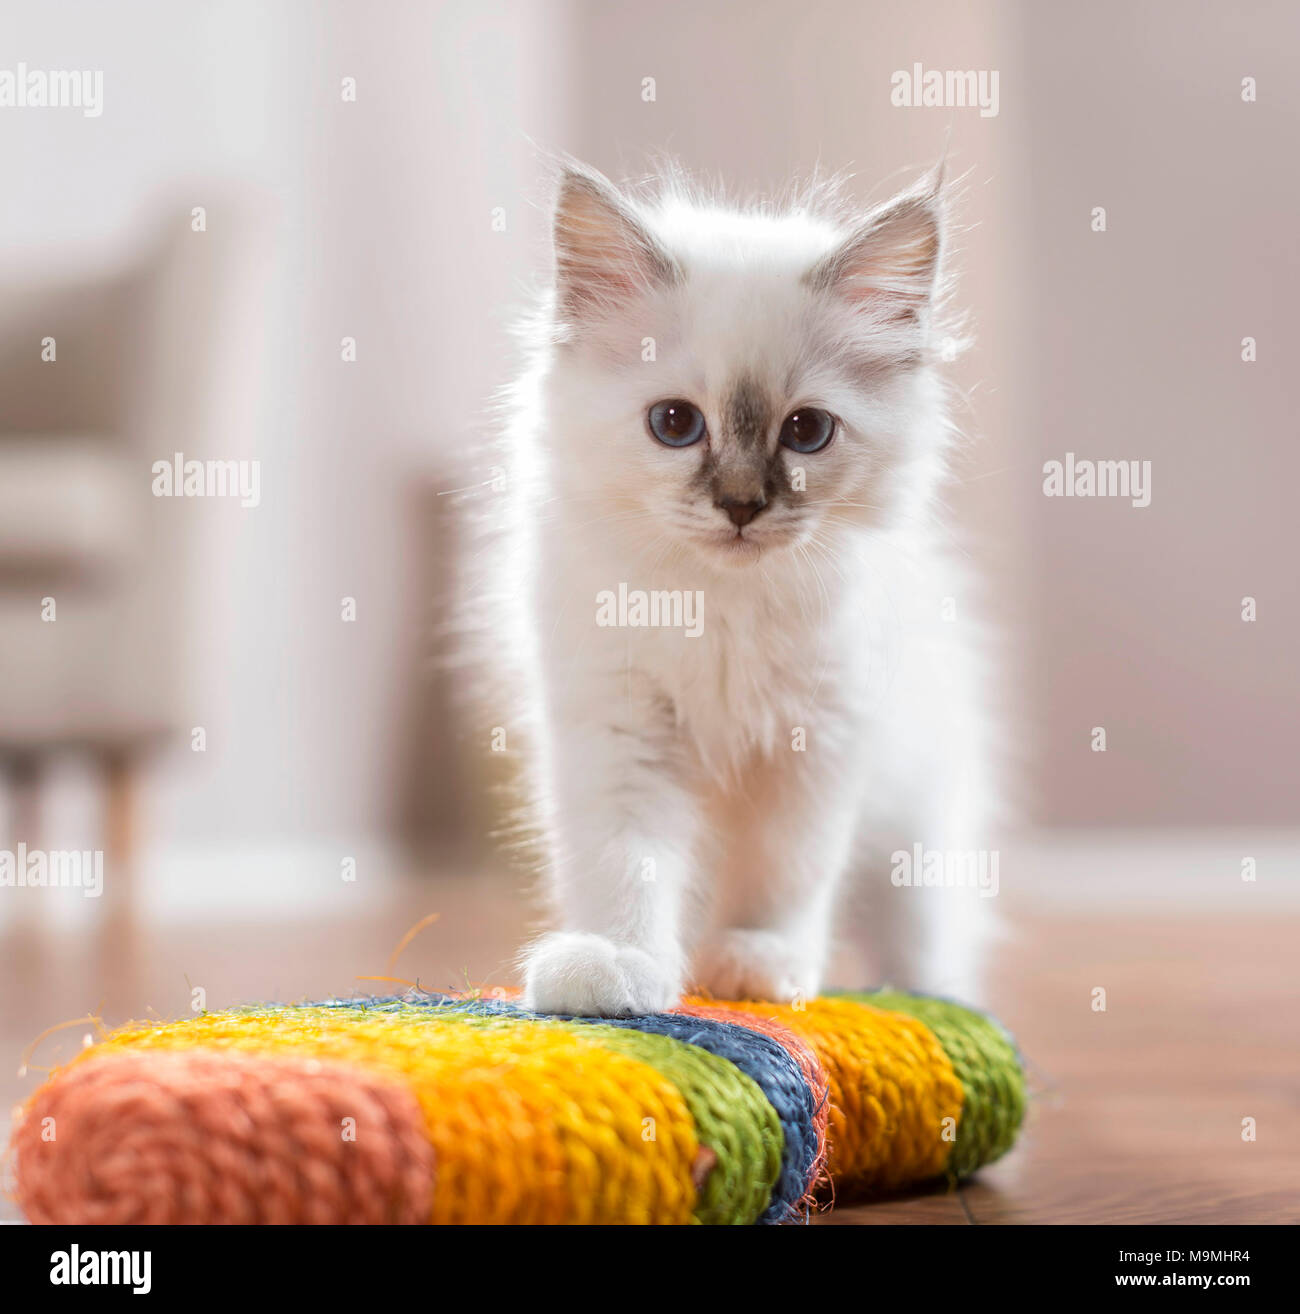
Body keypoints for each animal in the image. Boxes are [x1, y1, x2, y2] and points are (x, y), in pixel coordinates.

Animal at [481, 156, 998, 1014]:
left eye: (807, 432)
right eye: (675, 424)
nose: (741, 505)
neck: (716, 608)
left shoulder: (819, 738)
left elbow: (787, 871)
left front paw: (759, 963)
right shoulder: (619, 726)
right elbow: (624, 862)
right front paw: (617, 965)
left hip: (919, 827)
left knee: (921, 941)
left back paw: (935, 1001)